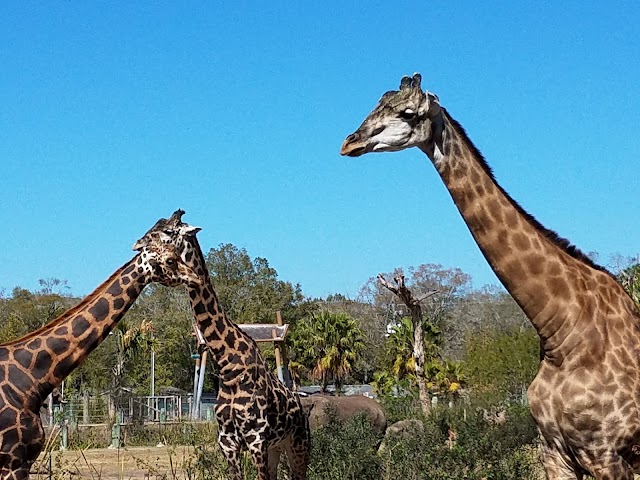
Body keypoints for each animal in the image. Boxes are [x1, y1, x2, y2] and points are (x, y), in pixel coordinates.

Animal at [342, 72, 640, 480]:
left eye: (407, 113)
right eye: (375, 104)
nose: (349, 142)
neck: (561, 332)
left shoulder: (606, 453)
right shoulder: (555, 452)